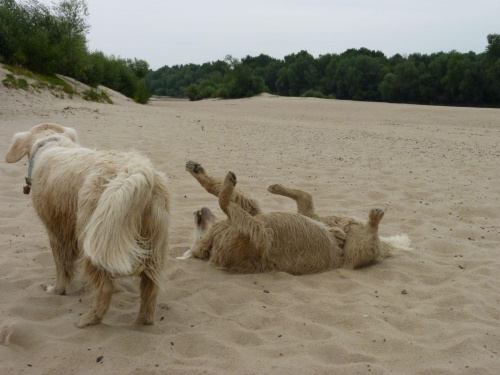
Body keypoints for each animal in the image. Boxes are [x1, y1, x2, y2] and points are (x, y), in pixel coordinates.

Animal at [4, 124, 171, 328]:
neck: (51, 142)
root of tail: (136, 171)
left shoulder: (57, 230)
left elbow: (62, 265)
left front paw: (57, 289)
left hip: (92, 236)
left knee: (105, 287)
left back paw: (89, 319)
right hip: (152, 242)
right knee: (150, 286)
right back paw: (142, 321)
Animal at [181, 160, 410, 274]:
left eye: (196, 223)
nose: (196, 211)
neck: (216, 236)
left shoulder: (254, 216)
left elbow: (220, 194)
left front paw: (198, 171)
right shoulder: (260, 234)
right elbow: (224, 201)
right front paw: (226, 184)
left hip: (322, 218)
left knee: (305, 198)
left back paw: (278, 187)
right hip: (356, 251)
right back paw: (373, 219)